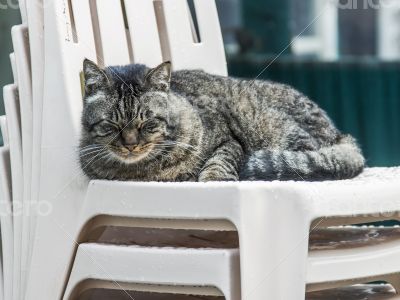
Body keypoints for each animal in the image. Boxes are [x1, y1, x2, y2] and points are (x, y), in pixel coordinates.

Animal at [79, 58, 366, 180]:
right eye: (110, 125)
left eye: (148, 124)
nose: (130, 145)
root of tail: (340, 133)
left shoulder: (228, 140)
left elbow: (219, 162)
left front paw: (212, 179)